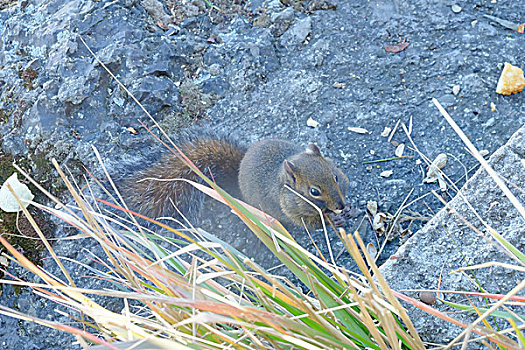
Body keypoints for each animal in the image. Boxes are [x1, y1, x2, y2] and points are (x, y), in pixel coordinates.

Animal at [120, 132, 350, 230]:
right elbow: (310, 223)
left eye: (336, 176)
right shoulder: (291, 210)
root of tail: (240, 165)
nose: (340, 205)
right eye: (314, 192)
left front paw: (348, 210)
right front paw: (333, 219)